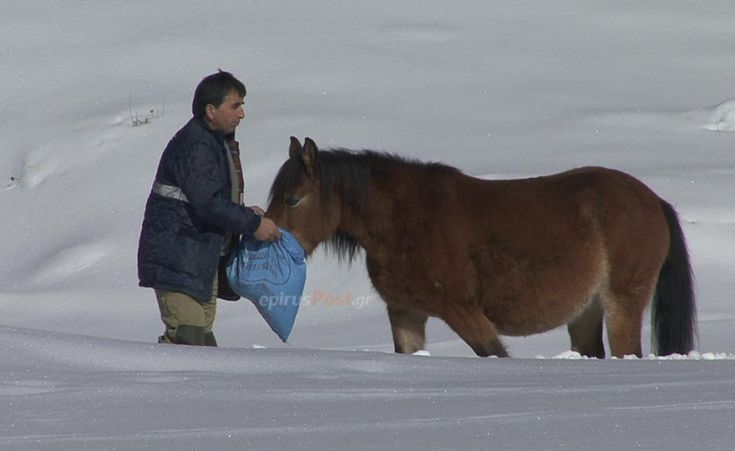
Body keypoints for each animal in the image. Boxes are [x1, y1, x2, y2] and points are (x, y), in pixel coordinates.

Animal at [264, 136, 696, 358]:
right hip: (586, 312)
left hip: (622, 303)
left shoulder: (464, 311)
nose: (265, 236)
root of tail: (653, 201)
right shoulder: (405, 313)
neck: (406, 220)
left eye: (293, 200)